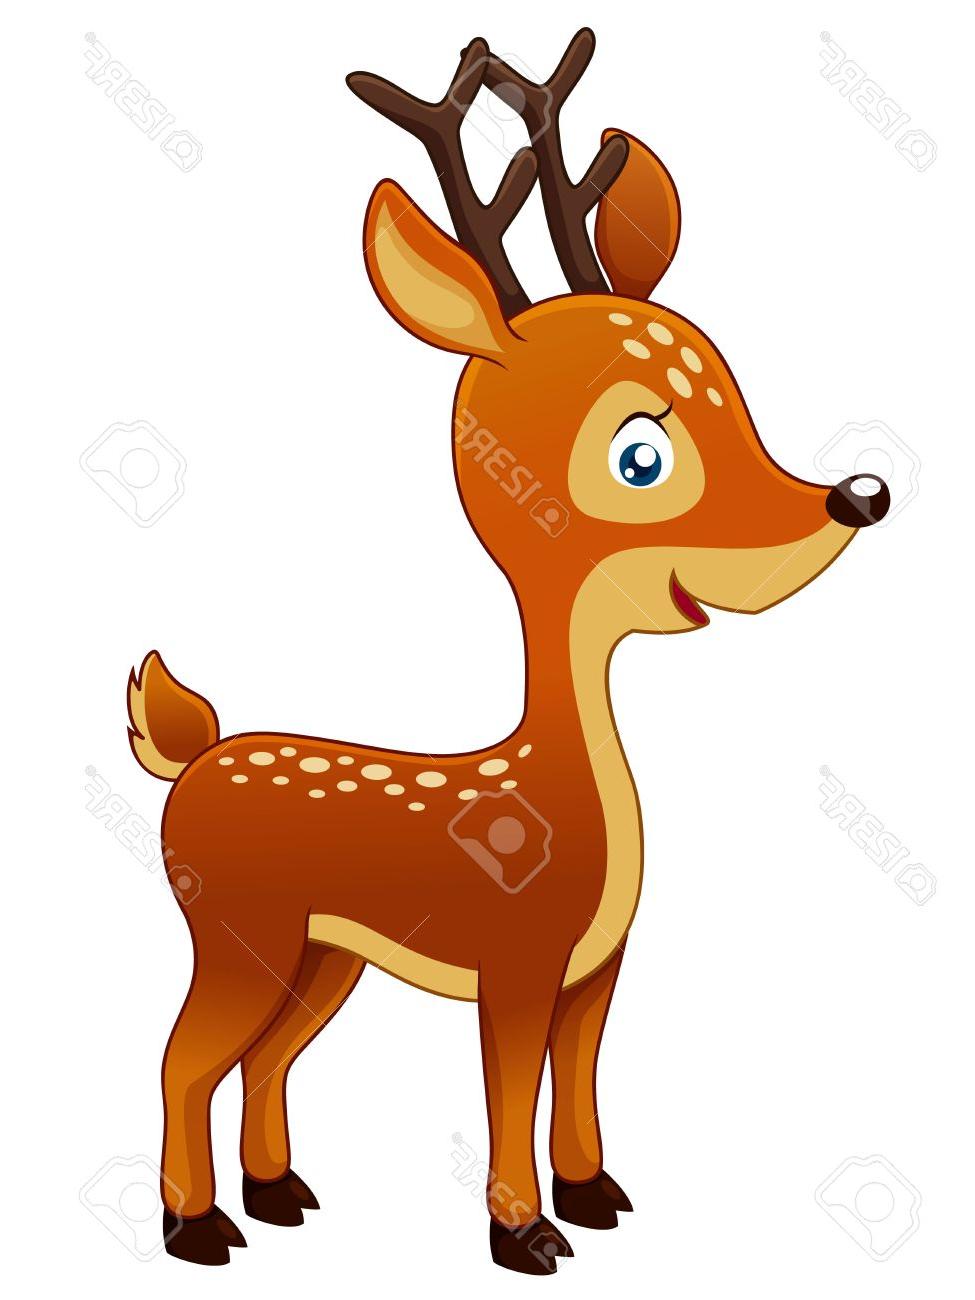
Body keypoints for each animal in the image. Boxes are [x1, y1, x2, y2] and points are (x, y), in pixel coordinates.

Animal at [126, 29, 890, 1275]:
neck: (558, 792)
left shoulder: (596, 972)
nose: (854, 496)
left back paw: (279, 1195)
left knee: (267, 1056)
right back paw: (196, 1227)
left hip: (323, 957)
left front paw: (597, 1197)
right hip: (239, 935)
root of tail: (190, 756)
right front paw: (524, 1235)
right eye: (640, 454)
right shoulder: (517, 964)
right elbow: (508, 1089)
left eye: (736, 387)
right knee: (183, 1055)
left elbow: (574, 1081)